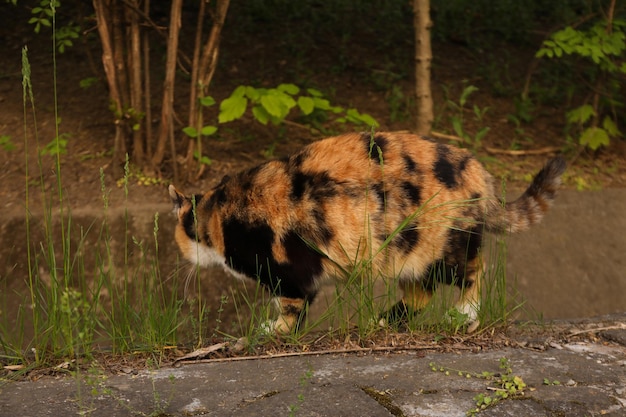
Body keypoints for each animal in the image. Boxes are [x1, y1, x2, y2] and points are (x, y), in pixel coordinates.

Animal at [167, 132, 564, 334]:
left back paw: (463, 316)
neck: (223, 213)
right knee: (421, 293)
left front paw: (273, 330)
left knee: (472, 272)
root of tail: (479, 171)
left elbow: (291, 306)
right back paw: (383, 321)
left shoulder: (288, 270)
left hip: (443, 246)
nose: (182, 256)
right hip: (410, 255)